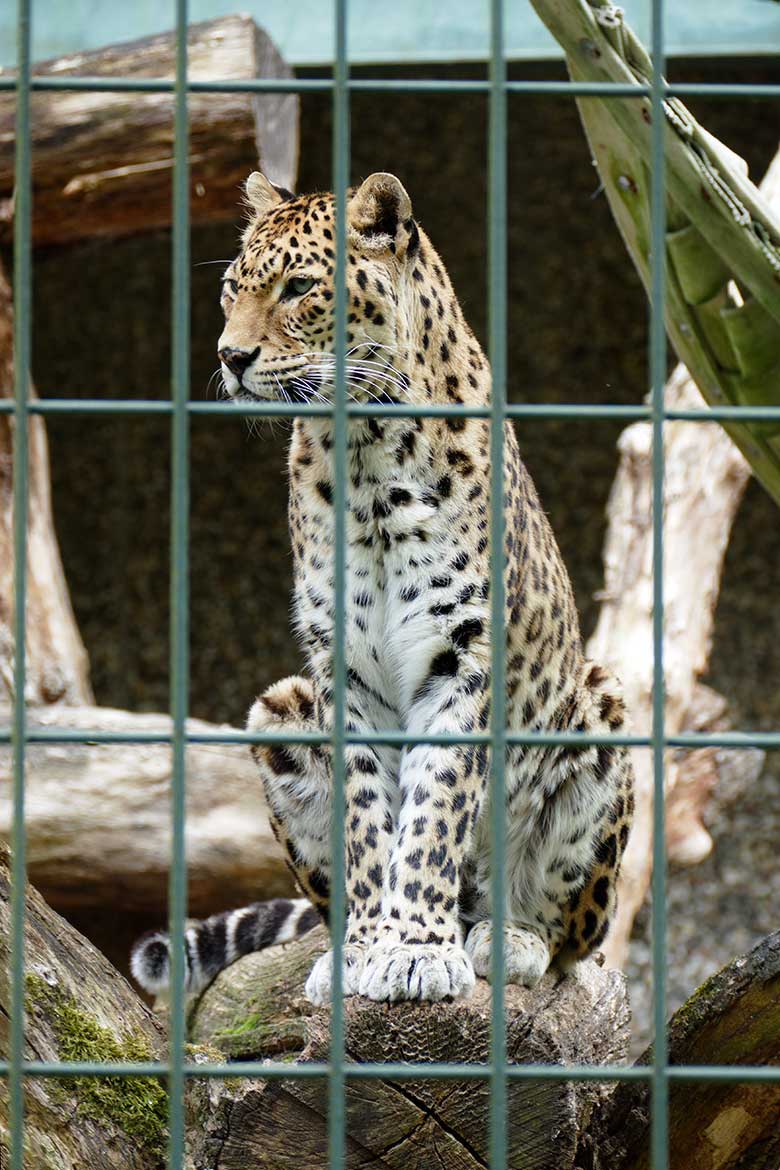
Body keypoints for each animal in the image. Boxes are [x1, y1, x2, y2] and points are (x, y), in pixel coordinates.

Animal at [132, 170, 636, 1006]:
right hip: (278, 713)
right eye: (233, 289)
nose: (230, 356)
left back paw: (507, 938)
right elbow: (369, 820)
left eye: (299, 288)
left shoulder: (463, 653)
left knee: (573, 936)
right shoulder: (343, 668)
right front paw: (371, 945)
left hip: (602, 710)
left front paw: (420, 949)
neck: (366, 453)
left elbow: (433, 812)